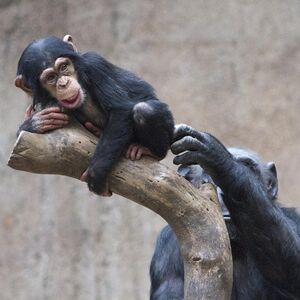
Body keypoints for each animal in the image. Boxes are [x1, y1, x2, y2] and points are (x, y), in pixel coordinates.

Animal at [16, 35, 175, 195]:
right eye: (51, 78)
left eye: (63, 67)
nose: (64, 83)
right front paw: (35, 122)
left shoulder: (95, 65)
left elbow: (120, 109)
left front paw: (95, 175)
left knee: (145, 110)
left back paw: (149, 151)